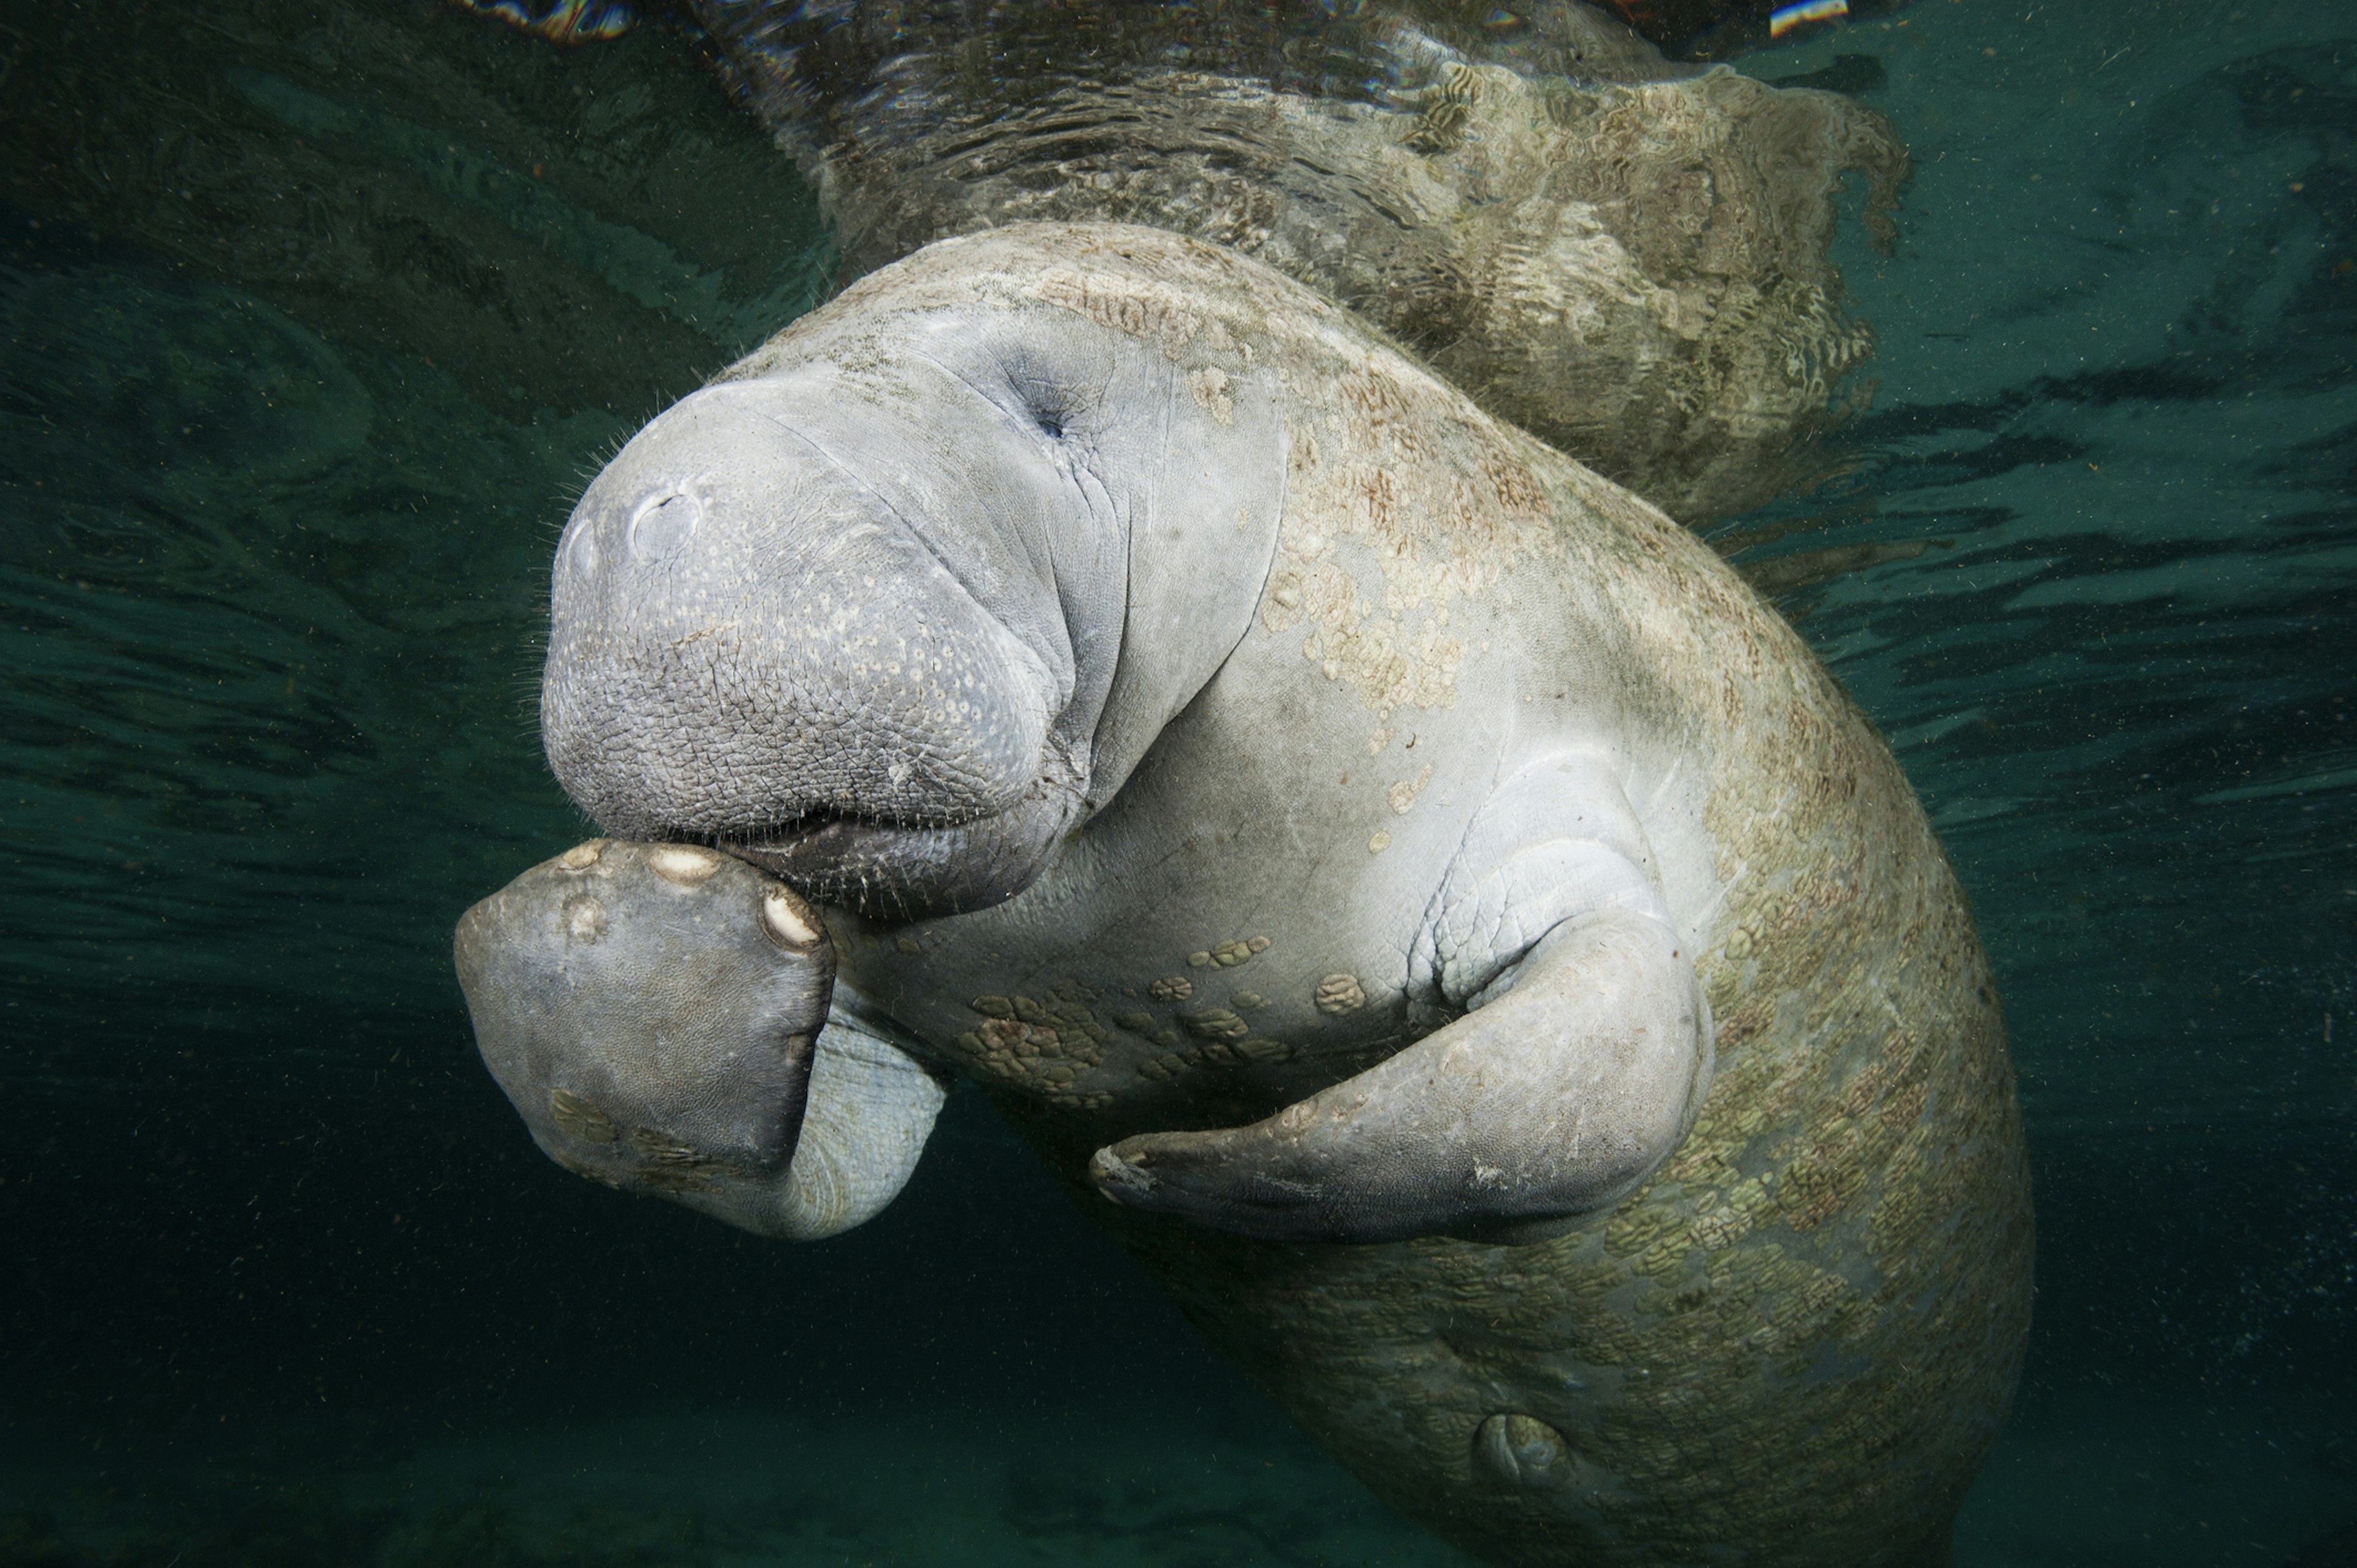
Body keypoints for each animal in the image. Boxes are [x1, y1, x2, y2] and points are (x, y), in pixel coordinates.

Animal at [469, 223, 2036, 1566]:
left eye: (1045, 411)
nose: (649, 504)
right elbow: (813, 1184)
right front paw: (609, 934)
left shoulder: (1560, 763)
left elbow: (1612, 1072)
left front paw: (1171, 1166)